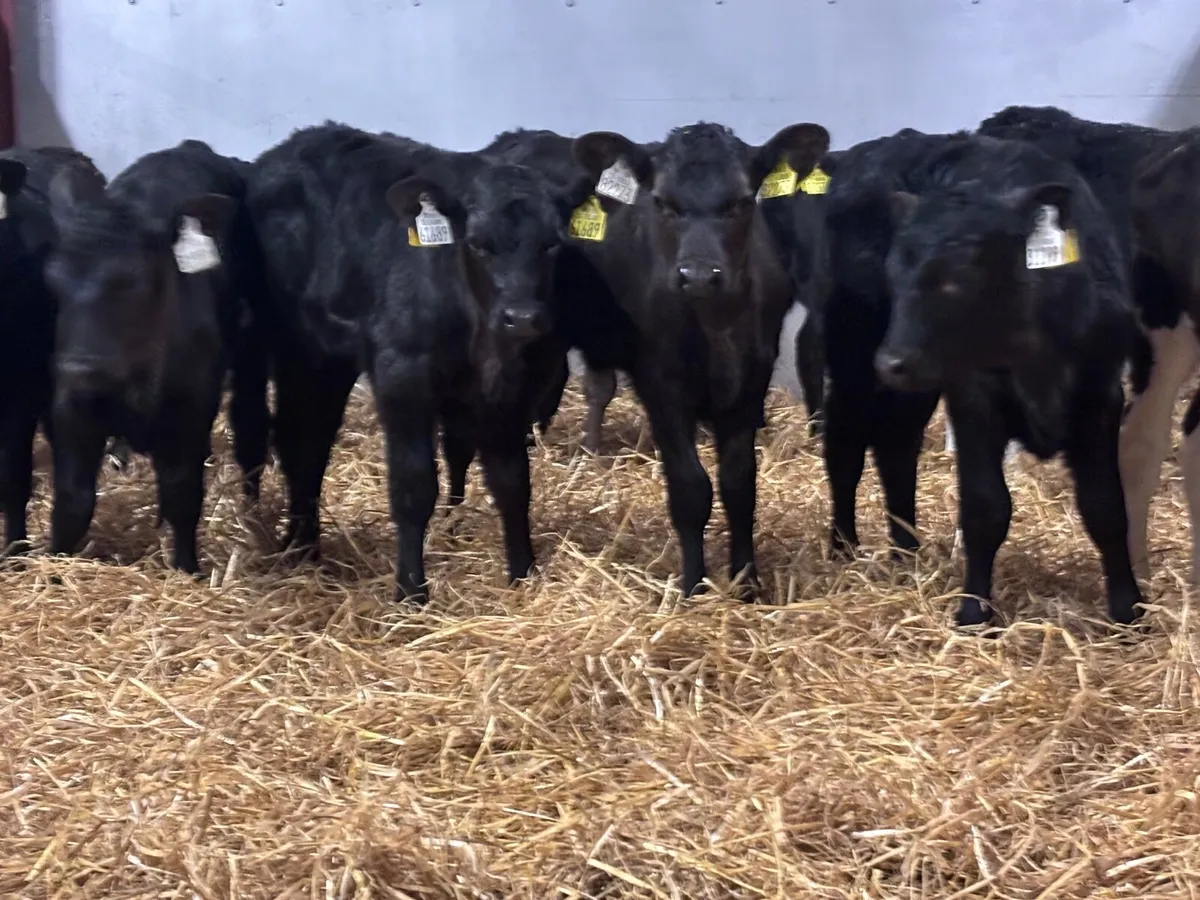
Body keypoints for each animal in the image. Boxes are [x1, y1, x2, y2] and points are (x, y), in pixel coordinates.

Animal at [43, 139, 267, 574]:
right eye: (52, 279)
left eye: (134, 279)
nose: (79, 366)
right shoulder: (72, 407)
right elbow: (73, 501)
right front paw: (51, 567)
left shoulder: (191, 409)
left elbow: (183, 494)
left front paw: (187, 568)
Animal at [245, 123, 599, 602]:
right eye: (478, 244)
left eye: (552, 245)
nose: (523, 317)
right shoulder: (403, 375)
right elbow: (414, 486)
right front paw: (411, 591)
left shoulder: (509, 390)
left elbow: (512, 482)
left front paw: (522, 573)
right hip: (296, 347)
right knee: (296, 439)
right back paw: (299, 546)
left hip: (331, 359)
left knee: (312, 442)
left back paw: (305, 548)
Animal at [485, 121, 831, 597]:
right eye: (663, 203)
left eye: (741, 202)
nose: (699, 275)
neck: (715, 328)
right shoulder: (661, 385)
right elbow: (690, 488)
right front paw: (694, 585)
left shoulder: (750, 382)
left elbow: (740, 483)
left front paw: (746, 582)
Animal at [828, 128, 1144, 627]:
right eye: (893, 274)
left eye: (957, 276)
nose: (891, 361)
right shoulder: (973, 395)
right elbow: (985, 507)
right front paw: (974, 610)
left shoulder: (1101, 394)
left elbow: (1106, 506)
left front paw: (1128, 609)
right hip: (853, 354)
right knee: (844, 445)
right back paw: (843, 545)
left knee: (897, 447)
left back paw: (906, 550)